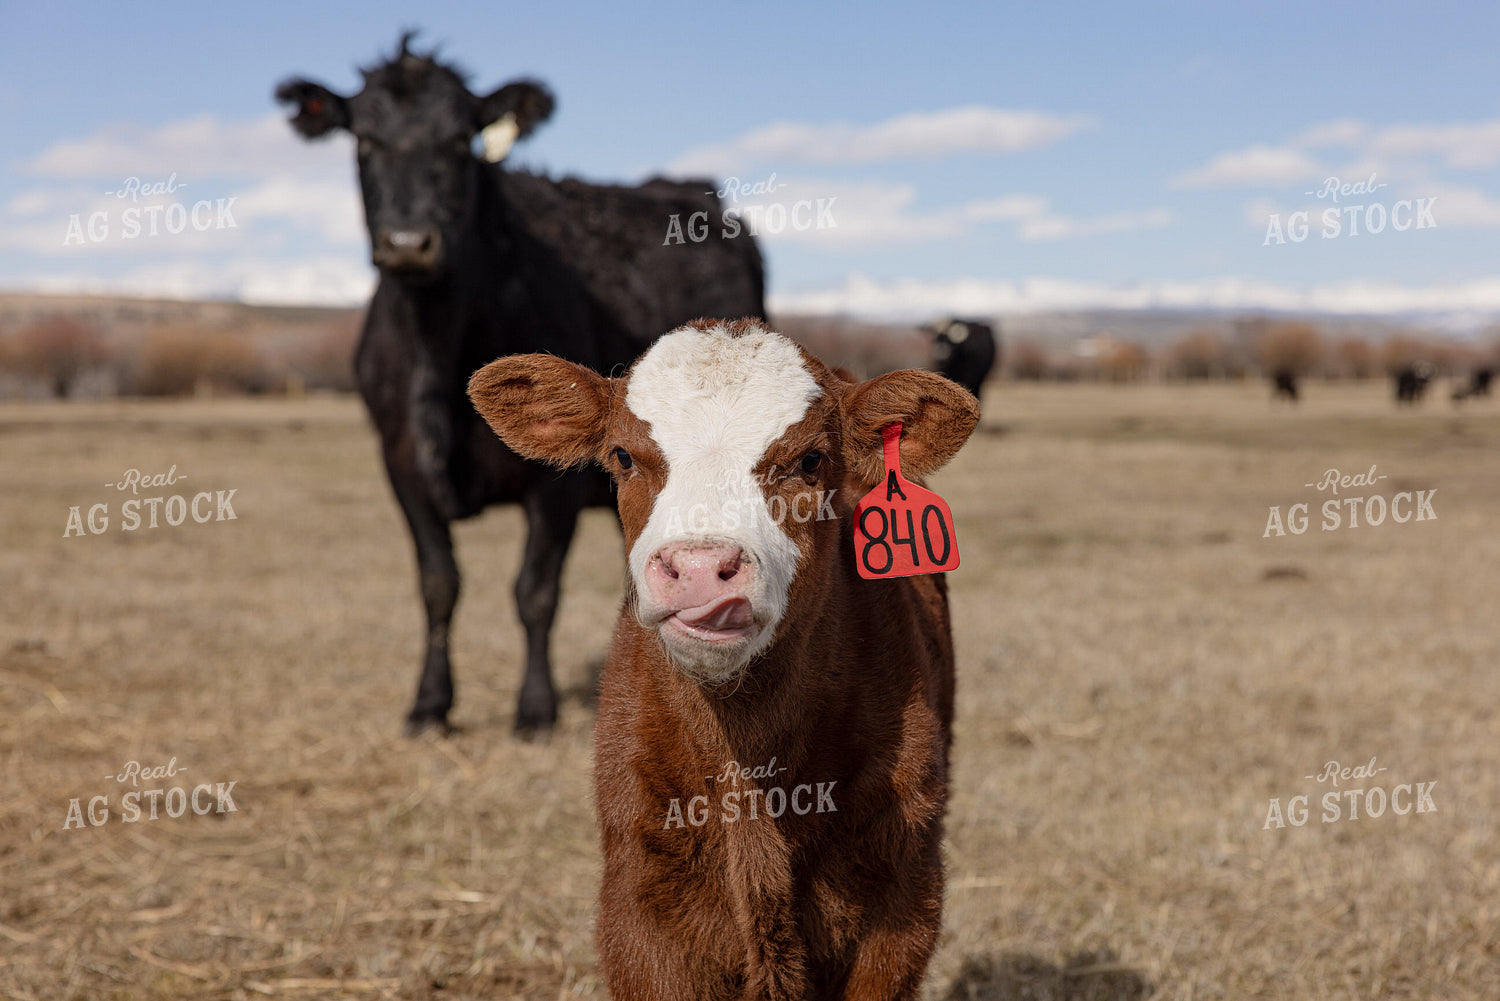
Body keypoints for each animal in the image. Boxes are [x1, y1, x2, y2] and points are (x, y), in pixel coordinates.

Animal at [275, 34, 765, 734]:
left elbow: (535, 592)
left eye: (460, 140)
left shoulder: (555, 484)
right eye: (364, 139)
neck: (440, 353)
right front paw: (430, 704)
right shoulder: (400, 463)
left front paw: (535, 710)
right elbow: (439, 584)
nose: (408, 242)